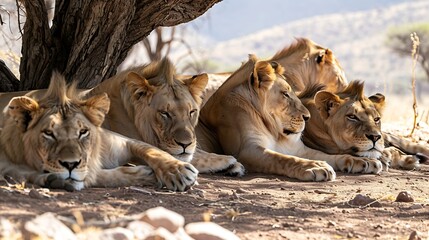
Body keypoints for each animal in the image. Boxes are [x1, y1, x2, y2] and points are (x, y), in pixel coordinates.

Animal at [0, 72, 197, 191]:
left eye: (83, 132)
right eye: (49, 133)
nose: (70, 164)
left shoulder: (124, 141)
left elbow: (153, 150)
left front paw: (178, 170)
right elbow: (95, 175)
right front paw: (143, 174)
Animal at [195, 54, 382, 182]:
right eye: (285, 94)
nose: (307, 117)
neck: (273, 129)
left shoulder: (300, 149)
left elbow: (328, 155)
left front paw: (363, 161)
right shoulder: (247, 150)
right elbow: (283, 159)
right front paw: (314, 167)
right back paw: (231, 166)